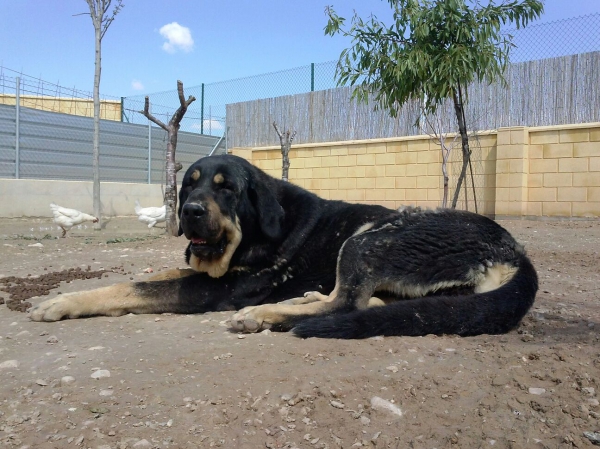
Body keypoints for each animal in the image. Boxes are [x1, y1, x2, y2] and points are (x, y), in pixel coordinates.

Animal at [29, 153, 540, 336]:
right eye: (189, 184)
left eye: (226, 190)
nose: (189, 211)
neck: (253, 233)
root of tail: (515, 250)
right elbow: (150, 277)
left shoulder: (216, 290)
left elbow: (135, 288)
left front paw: (62, 302)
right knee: (364, 299)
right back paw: (301, 297)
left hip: (368, 238)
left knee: (348, 305)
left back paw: (265, 315)